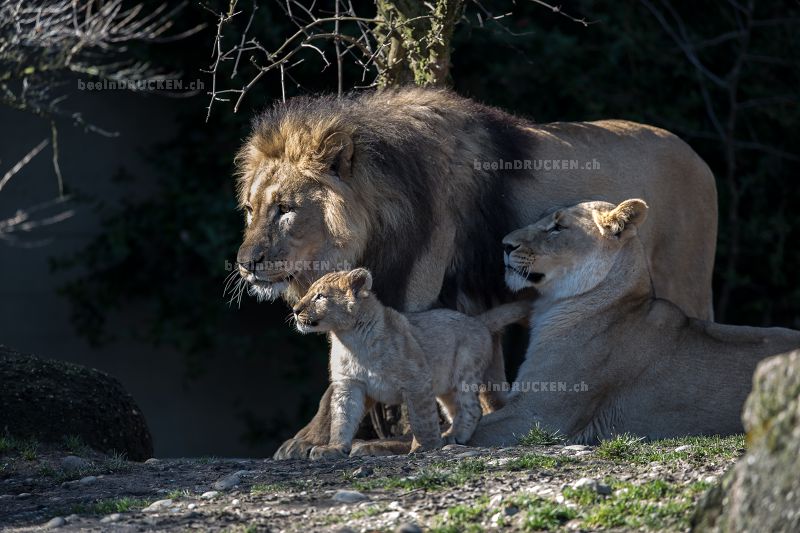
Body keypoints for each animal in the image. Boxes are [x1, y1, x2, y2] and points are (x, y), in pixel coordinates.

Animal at [234, 87, 716, 458]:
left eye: (286, 209)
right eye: (251, 209)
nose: (244, 263)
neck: (378, 222)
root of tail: (697, 156)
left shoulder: (415, 299)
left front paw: (312, 442)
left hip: (686, 277)